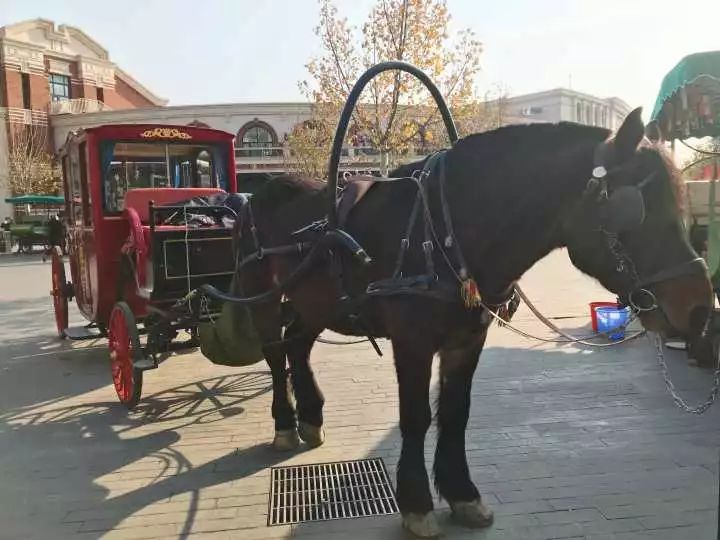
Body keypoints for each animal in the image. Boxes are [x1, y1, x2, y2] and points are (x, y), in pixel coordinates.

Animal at [232, 108, 716, 536]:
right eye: (636, 208)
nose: (699, 308)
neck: (446, 230)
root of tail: (259, 192)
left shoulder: (466, 340)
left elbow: (456, 412)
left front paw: (462, 494)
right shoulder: (412, 341)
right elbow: (416, 417)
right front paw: (417, 504)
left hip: (315, 303)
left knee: (298, 344)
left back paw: (310, 418)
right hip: (264, 296)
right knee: (275, 353)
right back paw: (284, 425)